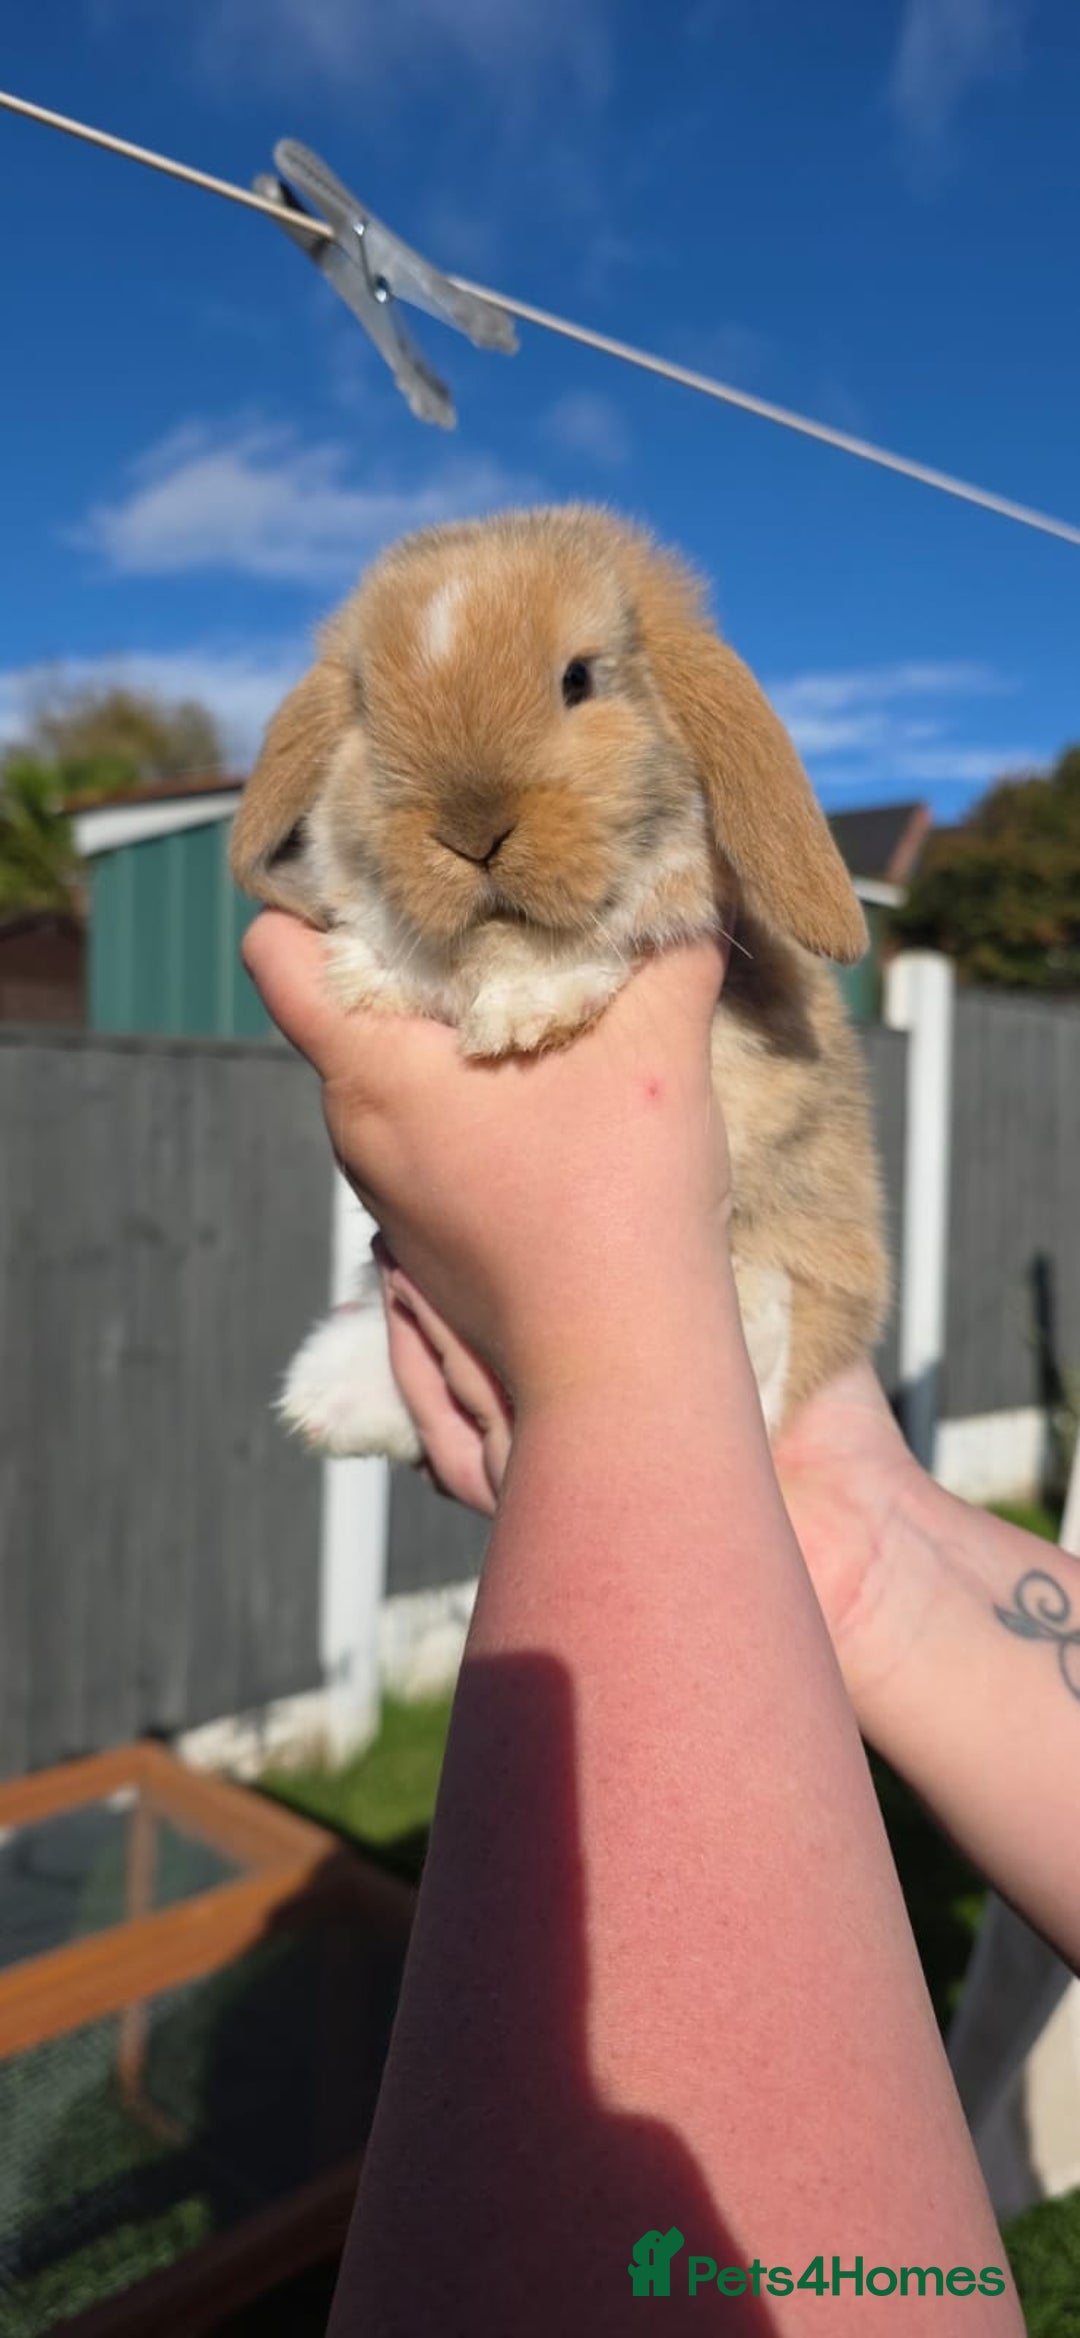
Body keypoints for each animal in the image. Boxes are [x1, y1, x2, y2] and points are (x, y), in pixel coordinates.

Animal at [230, 504, 888, 1461]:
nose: (472, 832)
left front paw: (523, 1013)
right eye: (363, 707)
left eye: (579, 679)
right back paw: (323, 1398)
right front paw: (374, 967)